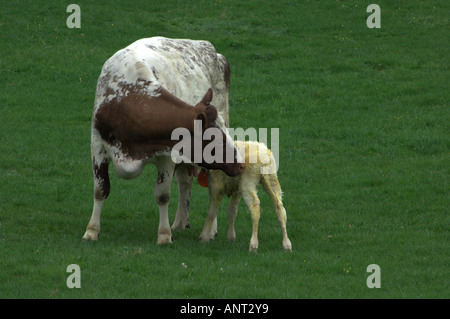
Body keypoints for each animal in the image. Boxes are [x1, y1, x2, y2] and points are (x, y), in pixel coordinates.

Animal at [80, 36, 243, 244]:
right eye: (216, 139)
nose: (240, 164)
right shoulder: (98, 147)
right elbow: (101, 190)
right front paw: (91, 231)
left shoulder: (167, 155)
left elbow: (163, 195)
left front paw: (164, 235)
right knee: (185, 179)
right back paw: (180, 223)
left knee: (214, 185)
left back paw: (209, 230)